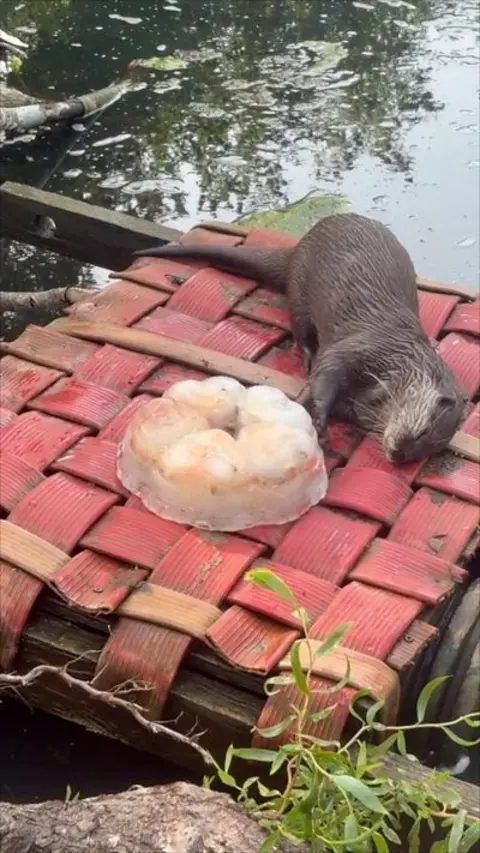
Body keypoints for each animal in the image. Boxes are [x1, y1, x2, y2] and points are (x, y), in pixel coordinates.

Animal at [133, 213, 466, 462]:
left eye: (424, 453)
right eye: (422, 434)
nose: (398, 455)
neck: (395, 356)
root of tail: (297, 248)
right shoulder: (360, 347)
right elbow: (326, 371)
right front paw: (315, 413)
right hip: (299, 289)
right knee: (300, 328)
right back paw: (306, 354)